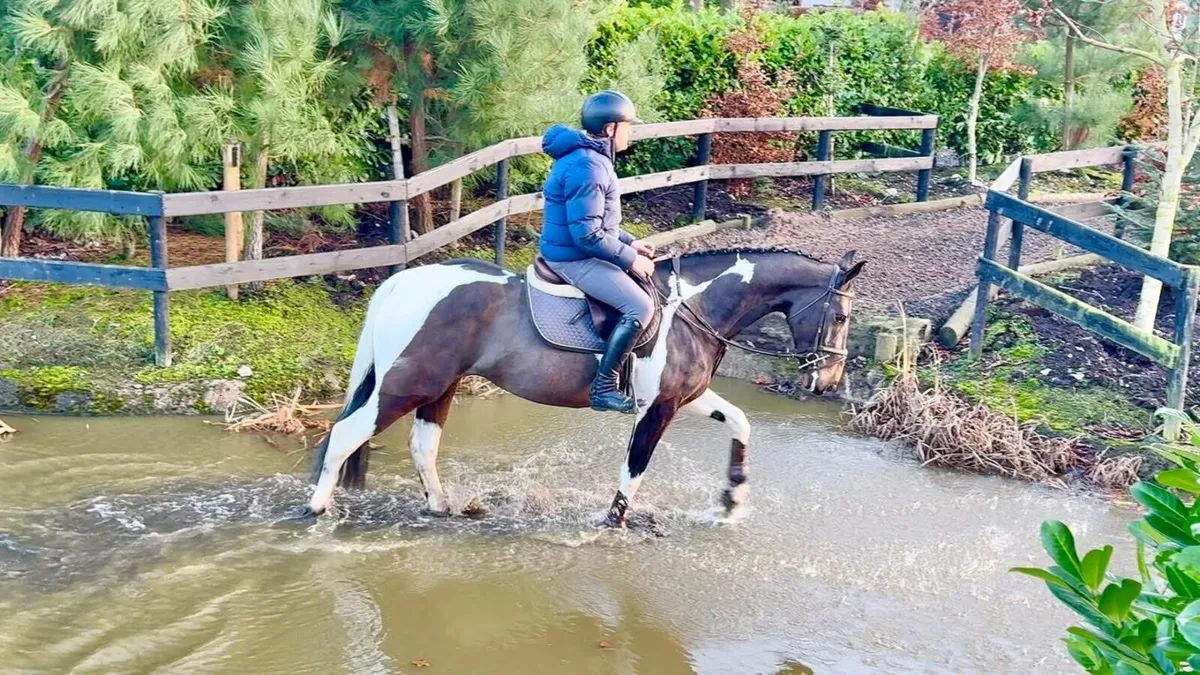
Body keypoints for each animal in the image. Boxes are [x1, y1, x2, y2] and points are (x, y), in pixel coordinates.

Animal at [304, 246, 865, 527]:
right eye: (840, 316)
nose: (829, 382)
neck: (695, 305)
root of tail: (402, 281)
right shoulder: (658, 407)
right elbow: (634, 468)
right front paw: (614, 524)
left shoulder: (686, 398)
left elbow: (743, 421)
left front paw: (732, 498)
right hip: (409, 384)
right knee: (347, 434)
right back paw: (315, 511)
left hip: (438, 386)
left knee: (423, 446)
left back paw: (442, 509)